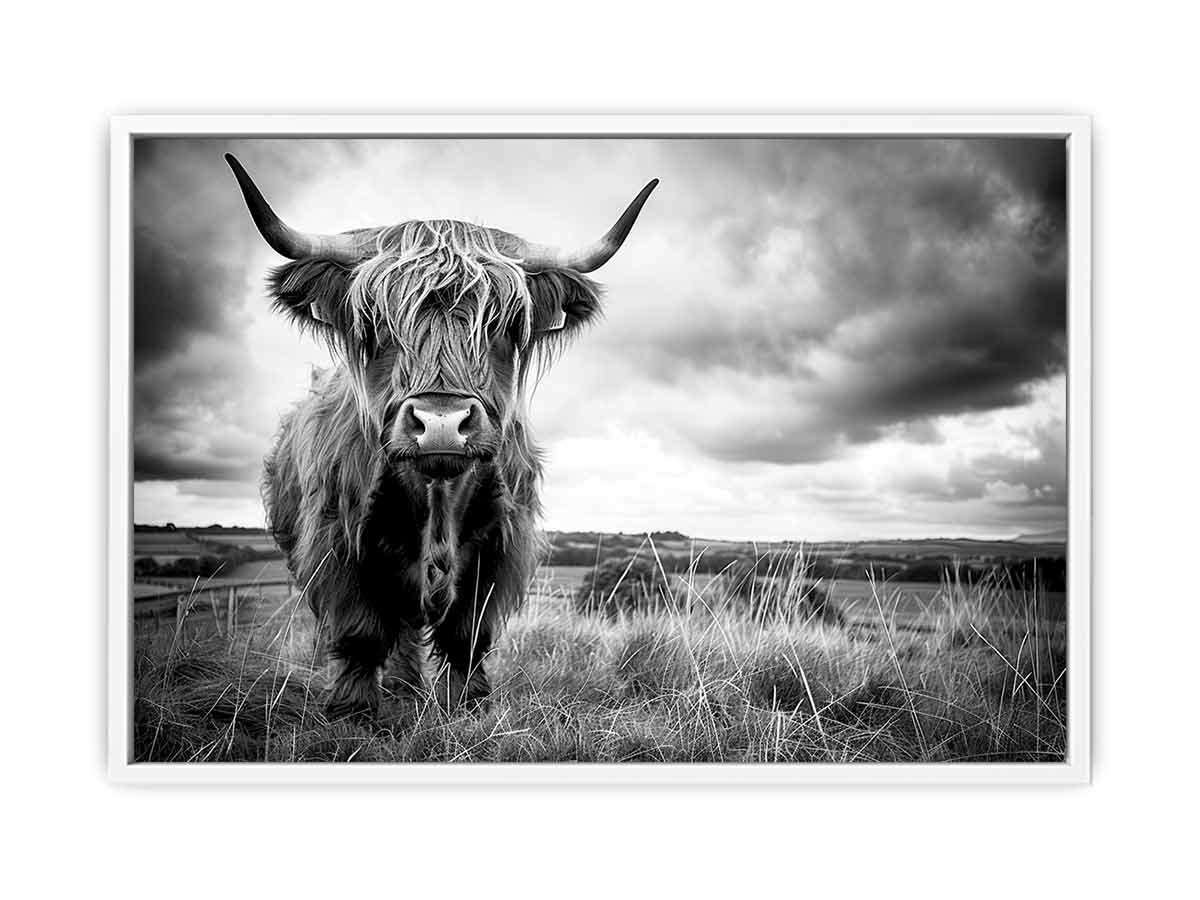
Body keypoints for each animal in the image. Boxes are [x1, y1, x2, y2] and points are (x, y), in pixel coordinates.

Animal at [225, 154, 657, 719]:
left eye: (503, 325)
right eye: (375, 324)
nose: (442, 423)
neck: (438, 499)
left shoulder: (500, 544)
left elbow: (468, 633)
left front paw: (468, 706)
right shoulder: (337, 541)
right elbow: (362, 631)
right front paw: (353, 711)